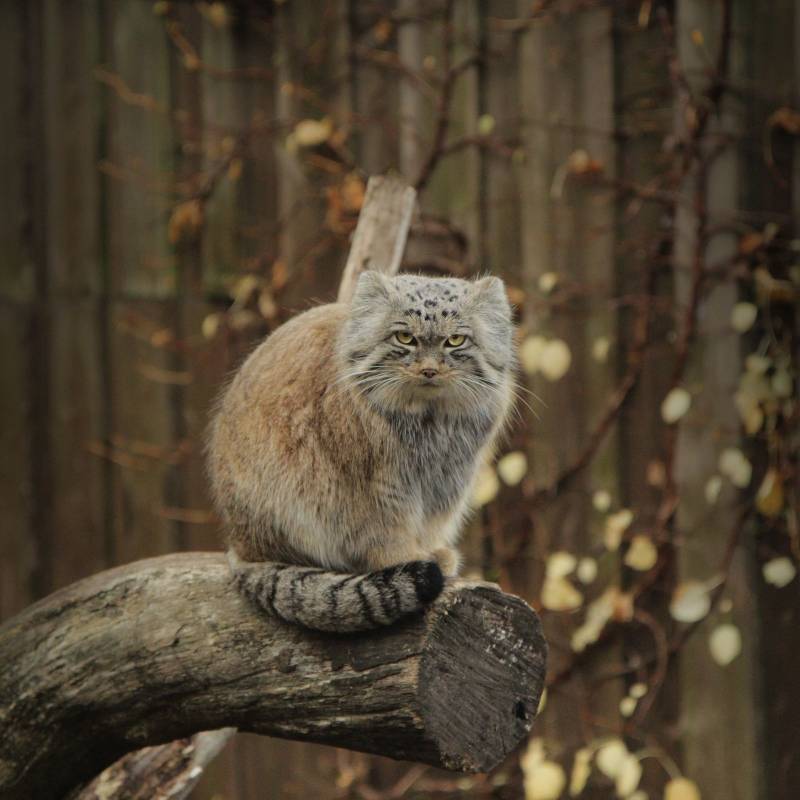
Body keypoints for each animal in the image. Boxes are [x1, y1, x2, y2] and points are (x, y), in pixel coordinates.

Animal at [206, 270, 515, 632]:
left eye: (455, 341)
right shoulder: (374, 487)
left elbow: (429, 523)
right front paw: (407, 558)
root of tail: (240, 547)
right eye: (405, 337)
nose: (429, 370)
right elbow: (385, 530)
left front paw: (430, 550)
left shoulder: (445, 481)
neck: (430, 421)